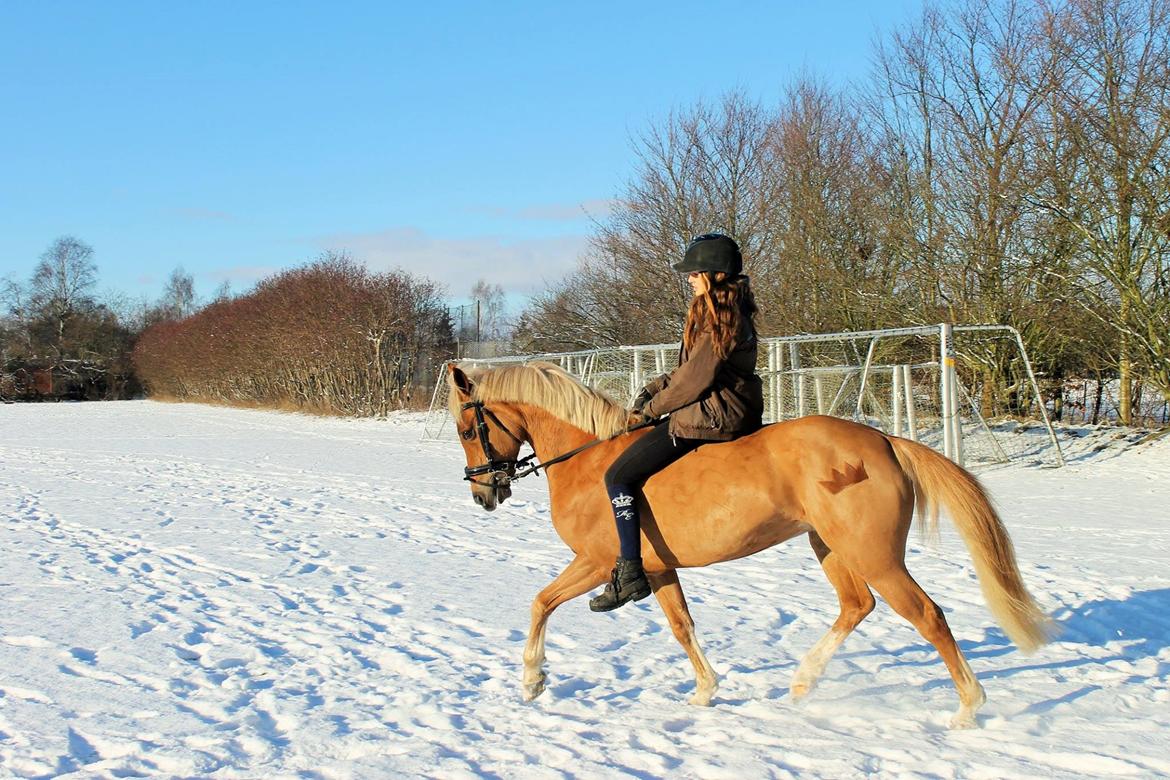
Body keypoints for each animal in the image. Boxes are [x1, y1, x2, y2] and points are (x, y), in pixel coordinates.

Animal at [444, 362, 1053, 729]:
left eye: (467, 430)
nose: (482, 494)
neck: (587, 460)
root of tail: (883, 439)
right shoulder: (657, 568)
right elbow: (682, 627)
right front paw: (705, 691)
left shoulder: (596, 562)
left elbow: (540, 602)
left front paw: (532, 680)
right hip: (829, 547)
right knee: (857, 606)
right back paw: (804, 682)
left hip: (873, 555)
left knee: (927, 615)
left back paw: (969, 708)